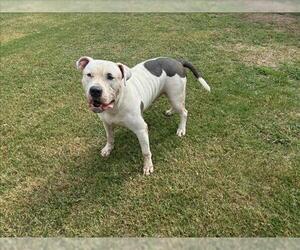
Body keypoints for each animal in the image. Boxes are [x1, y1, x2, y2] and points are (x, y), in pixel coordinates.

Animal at [76, 57, 210, 175]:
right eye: (89, 75)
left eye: (110, 76)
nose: (95, 90)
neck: (116, 105)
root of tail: (177, 61)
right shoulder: (107, 123)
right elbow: (110, 137)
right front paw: (108, 149)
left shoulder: (141, 129)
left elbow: (146, 152)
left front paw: (148, 166)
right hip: (171, 95)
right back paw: (171, 111)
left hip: (176, 96)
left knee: (184, 112)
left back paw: (181, 129)